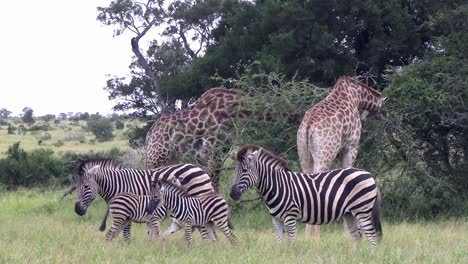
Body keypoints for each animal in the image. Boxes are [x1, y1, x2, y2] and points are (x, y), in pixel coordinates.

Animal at [75, 159, 216, 241]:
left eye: (86, 186)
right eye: (76, 187)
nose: (77, 210)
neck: (117, 184)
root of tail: (201, 170)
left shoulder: (130, 206)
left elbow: (126, 232)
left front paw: (127, 245)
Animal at [229, 143, 382, 246]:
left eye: (244, 170)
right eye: (235, 170)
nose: (232, 194)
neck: (277, 186)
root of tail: (369, 175)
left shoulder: (290, 217)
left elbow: (291, 243)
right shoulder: (276, 219)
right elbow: (280, 243)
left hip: (362, 210)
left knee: (372, 237)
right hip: (350, 213)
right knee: (358, 236)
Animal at [296, 76, 384, 239]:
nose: (378, 116)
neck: (357, 96)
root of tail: (308, 126)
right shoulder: (351, 147)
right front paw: (347, 232)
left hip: (305, 155)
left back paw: (307, 235)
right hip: (325, 154)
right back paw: (317, 236)